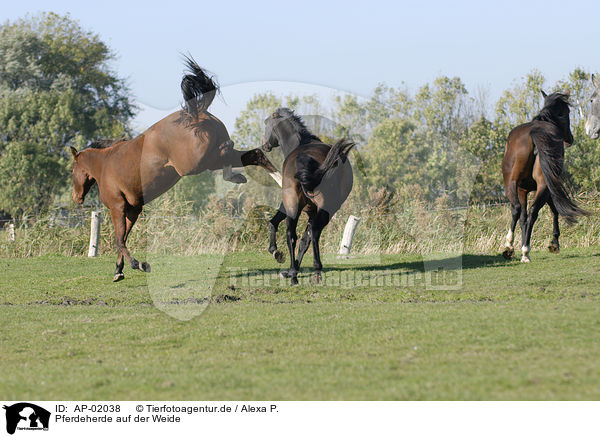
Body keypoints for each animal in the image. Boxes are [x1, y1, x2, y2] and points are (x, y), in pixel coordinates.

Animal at [72, 58, 282, 282]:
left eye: (72, 170)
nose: (77, 198)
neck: (104, 165)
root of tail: (197, 113)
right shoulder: (133, 209)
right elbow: (123, 238)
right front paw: (119, 270)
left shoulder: (117, 207)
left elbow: (119, 240)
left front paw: (139, 265)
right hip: (208, 160)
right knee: (255, 155)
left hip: (194, 163)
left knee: (227, 152)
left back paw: (234, 174)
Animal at [262, 107, 354, 284]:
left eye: (266, 124)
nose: (265, 145)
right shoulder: (308, 210)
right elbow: (305, 240)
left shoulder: (289, 205)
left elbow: (274, 223)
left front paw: (276, 252)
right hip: (322, 209)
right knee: (306, 233)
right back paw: (310, 272)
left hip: (298, 207)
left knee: (296, 234)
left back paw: (301, 274)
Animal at [502, 91, 584, 262]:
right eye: (567, 112)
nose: (570, 139)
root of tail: (533, 133)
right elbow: (554, 210)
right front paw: (554, 243)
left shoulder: (522, 189)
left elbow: (523, 217)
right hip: (543, 186)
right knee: (532, 212)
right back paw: (522, 250)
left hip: (513, 184)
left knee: (518, 209)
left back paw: (513, 248)